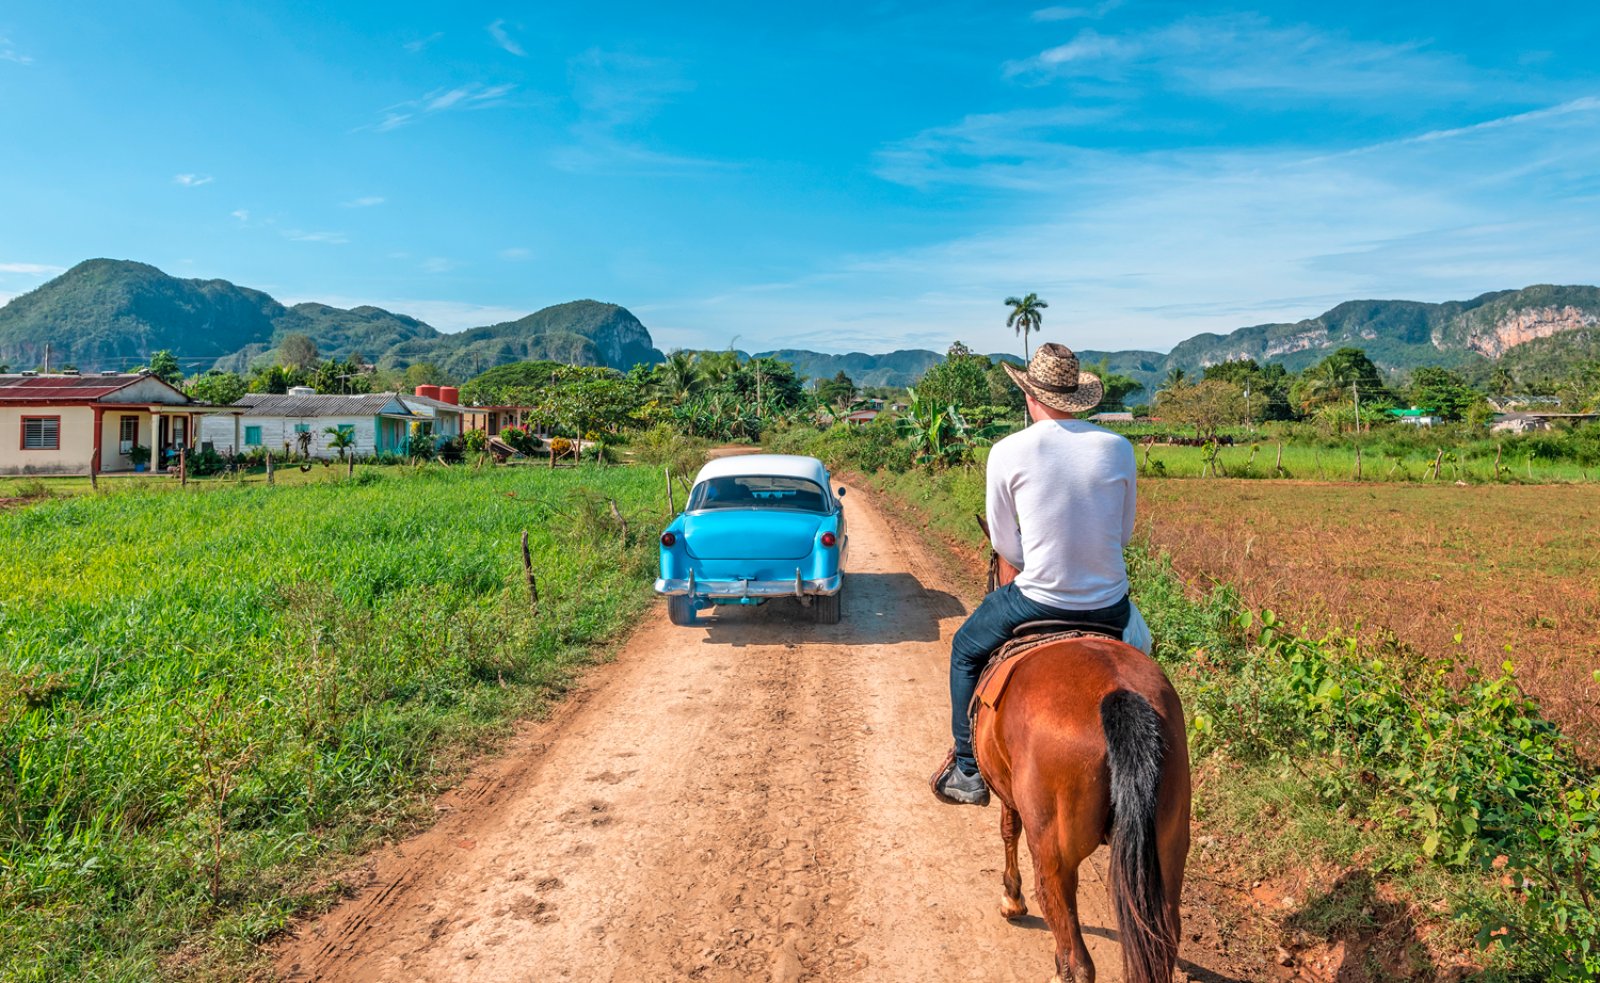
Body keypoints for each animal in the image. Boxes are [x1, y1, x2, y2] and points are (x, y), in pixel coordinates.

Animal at [972, 531, 1190, 983]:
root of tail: (1118, 695)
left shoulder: (1008, 795)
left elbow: (1007, 831)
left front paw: (1011, 899)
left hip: (1055, 855)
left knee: (1076, 958)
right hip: (1168, 847)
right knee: (1162, 946)